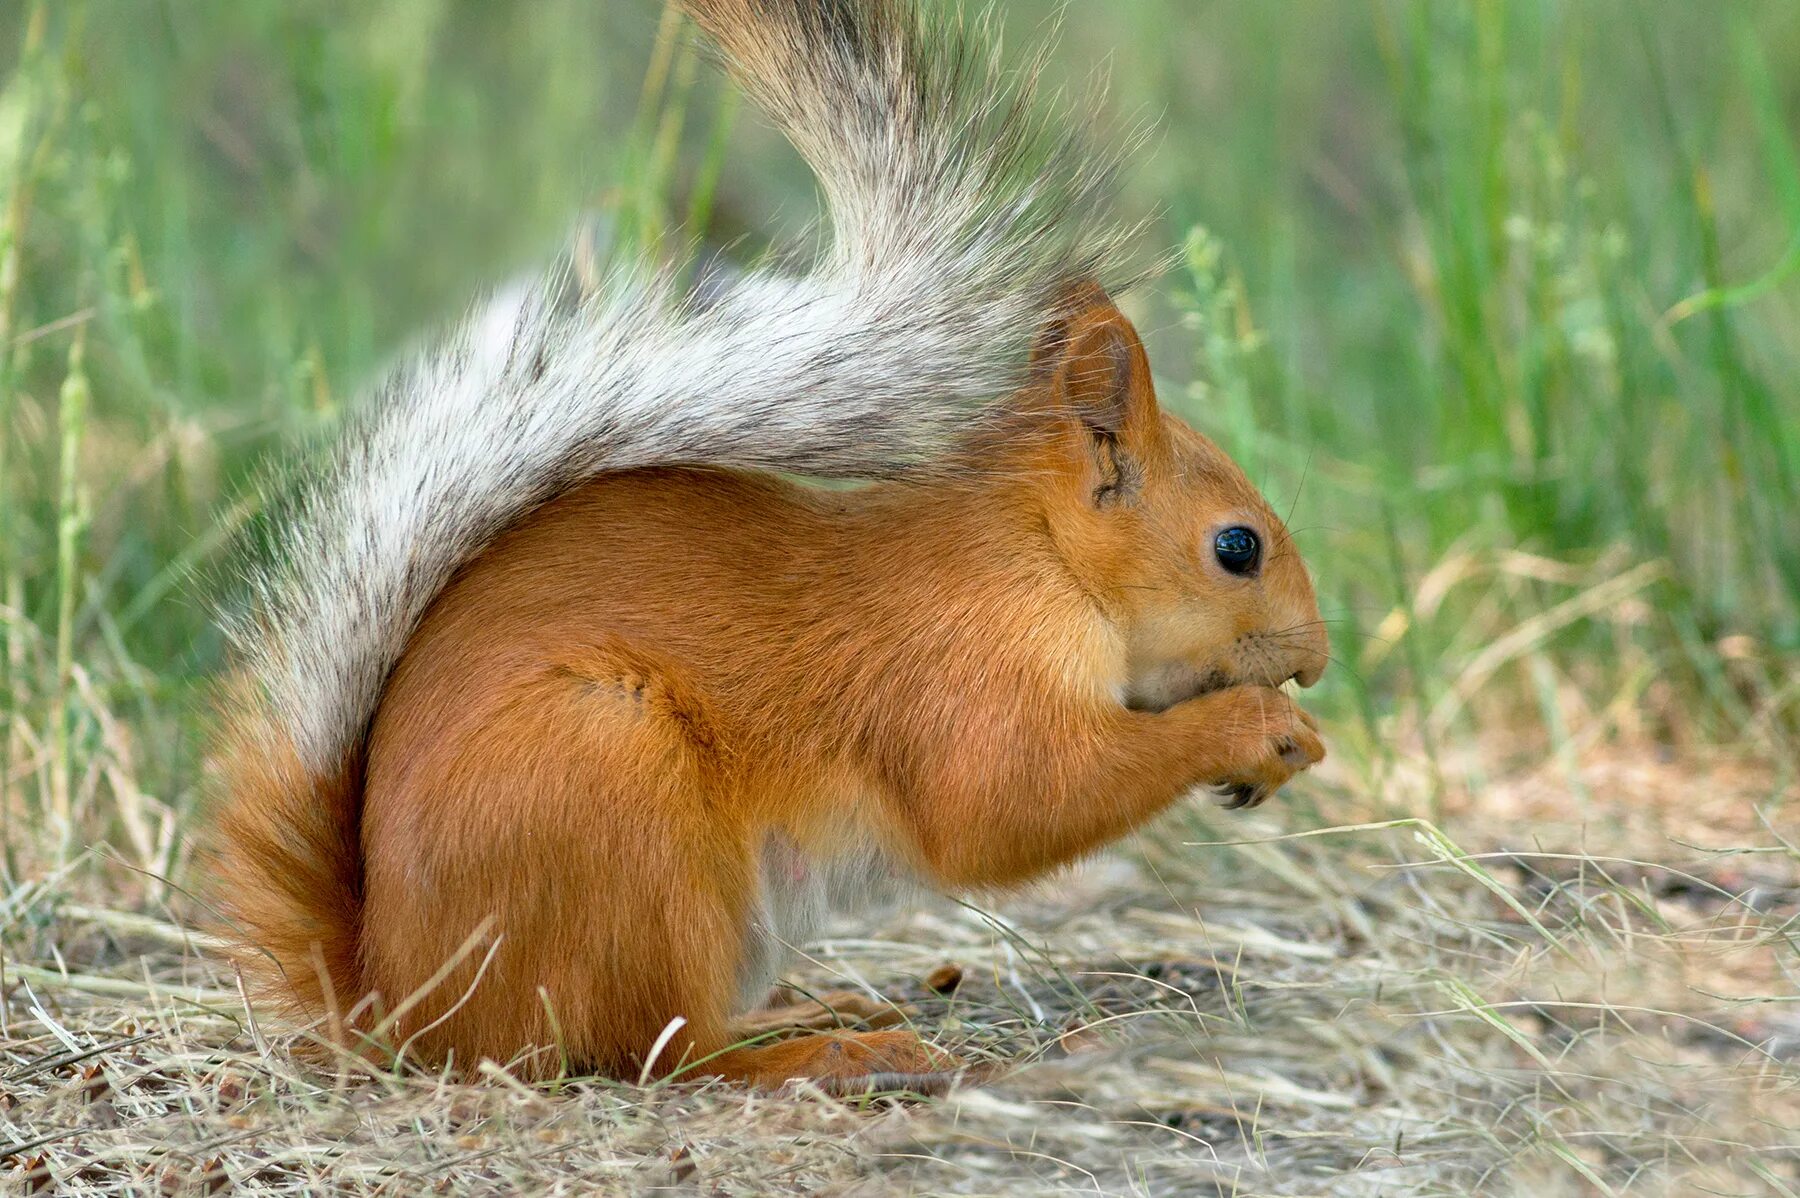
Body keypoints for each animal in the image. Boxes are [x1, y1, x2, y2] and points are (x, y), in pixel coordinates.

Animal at [210, 0, 1332, 1086]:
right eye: (1237, 547)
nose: (1317, 662)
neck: (1036, 552)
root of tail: (400, 1001)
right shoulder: (959, 671)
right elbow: (1010, 804)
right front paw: (1251, 728)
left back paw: (815, 1009)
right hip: (615, 797)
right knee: (659, 1049)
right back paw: (827, 1053)